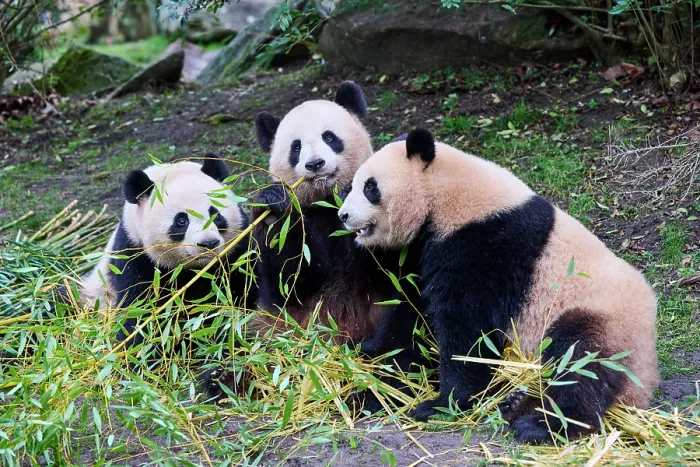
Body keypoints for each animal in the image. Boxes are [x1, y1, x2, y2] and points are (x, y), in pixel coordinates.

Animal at [75, 154, 254, 351]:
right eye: (181, 221)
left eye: (215, 214)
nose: (208, 243)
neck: (196, 269)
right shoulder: (136, 254)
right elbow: (140, 311)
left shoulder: (238, 248)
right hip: (90, 294)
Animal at [250, 81, 418, 344]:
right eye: (296, 147)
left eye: (329, 137)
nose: (315, 164)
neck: (327, 200)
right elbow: (287, 283)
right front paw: (274, 207)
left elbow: (390, 266)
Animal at [338, 128, 659, 443]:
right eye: (353, 185)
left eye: (370, 187)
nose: (343, 215)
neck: (444, 196)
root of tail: (645, 381)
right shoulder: (424, 250)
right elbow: (411, 312)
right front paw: (367, 350)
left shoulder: (486, 245)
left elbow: (469, 330)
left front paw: (442, 404)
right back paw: (515, 403)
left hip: (604, 320)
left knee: (580, 363)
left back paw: (544, 424)